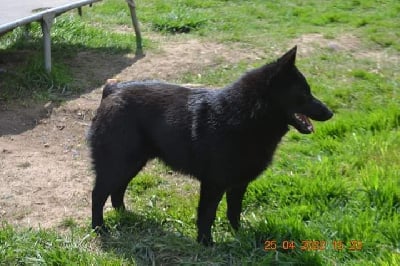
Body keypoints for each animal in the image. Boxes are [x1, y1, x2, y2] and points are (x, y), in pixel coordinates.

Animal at [89, 45, 332, 245]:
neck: (245, 116)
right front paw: (205, 243)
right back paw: (99, 228)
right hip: (117, 164)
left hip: (131, 164)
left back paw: (124, 214)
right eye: (303, 92)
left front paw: (239, 235)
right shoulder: (213, 184)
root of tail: (112, 90)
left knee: (117, 190)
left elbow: (234, 211)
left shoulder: (238, 184)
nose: (330, 113)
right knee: (98, 194)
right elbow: (207, 215)